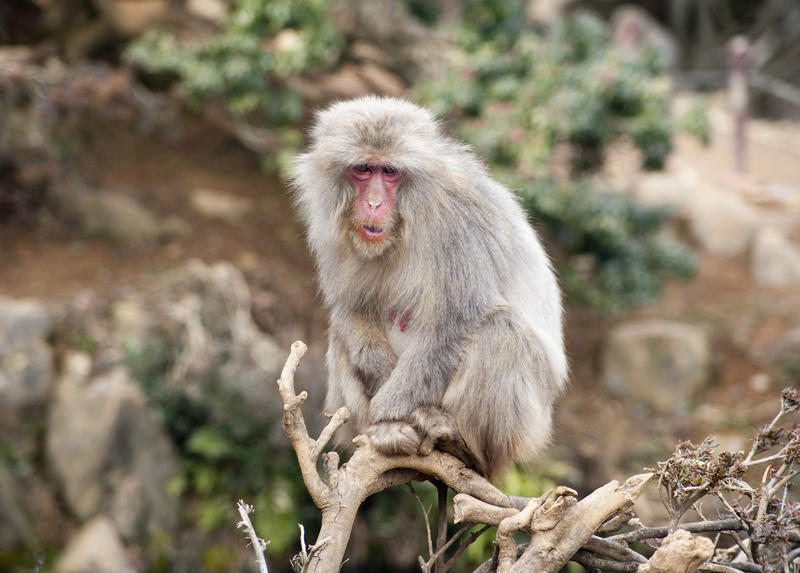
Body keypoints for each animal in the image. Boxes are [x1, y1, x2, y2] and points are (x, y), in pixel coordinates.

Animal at [290, 97, 564, 478]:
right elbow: (350, 306)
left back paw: (462, 446)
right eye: (363, 169)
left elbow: (454, 322)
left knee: (501, 328)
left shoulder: (459, 222)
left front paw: (389, 410)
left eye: (390, 172)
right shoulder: (329, 229)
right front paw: (383, 404)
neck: (407, 221)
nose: (373, 204)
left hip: (524, 429)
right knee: (342, 334)